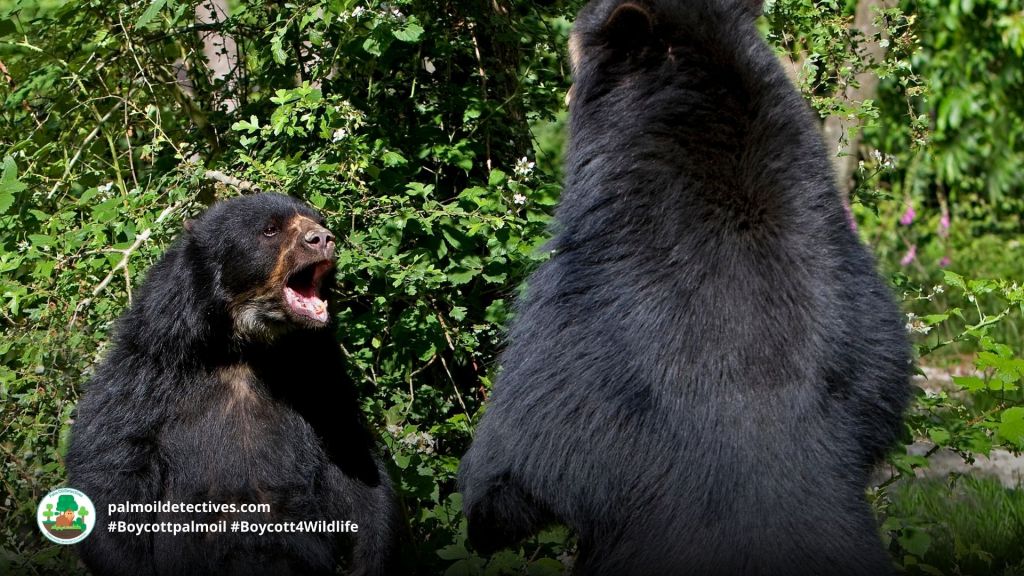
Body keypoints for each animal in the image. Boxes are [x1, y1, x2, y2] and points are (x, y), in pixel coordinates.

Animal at [66, 193, 399, 576]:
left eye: (317, 219)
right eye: (270, 229)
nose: (323, 239)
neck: (244, 346)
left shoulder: (317, 375)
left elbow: (352, 458)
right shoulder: (147, 370)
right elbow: (110, 459)